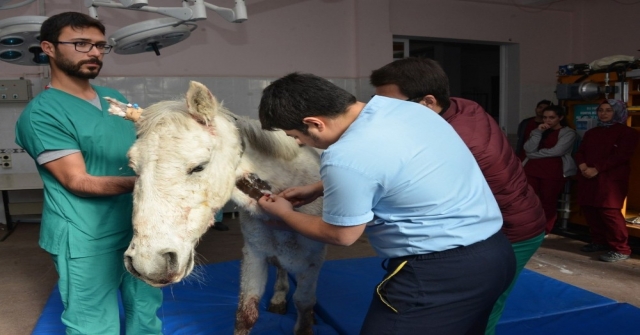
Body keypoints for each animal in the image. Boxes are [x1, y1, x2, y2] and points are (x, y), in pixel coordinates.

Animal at [107, 81, 324, 335]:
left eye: (199, 167)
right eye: (133, 167)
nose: (148, 264)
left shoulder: (312, 261)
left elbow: (304, 304)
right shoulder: (254, 253)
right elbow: (246, 314)